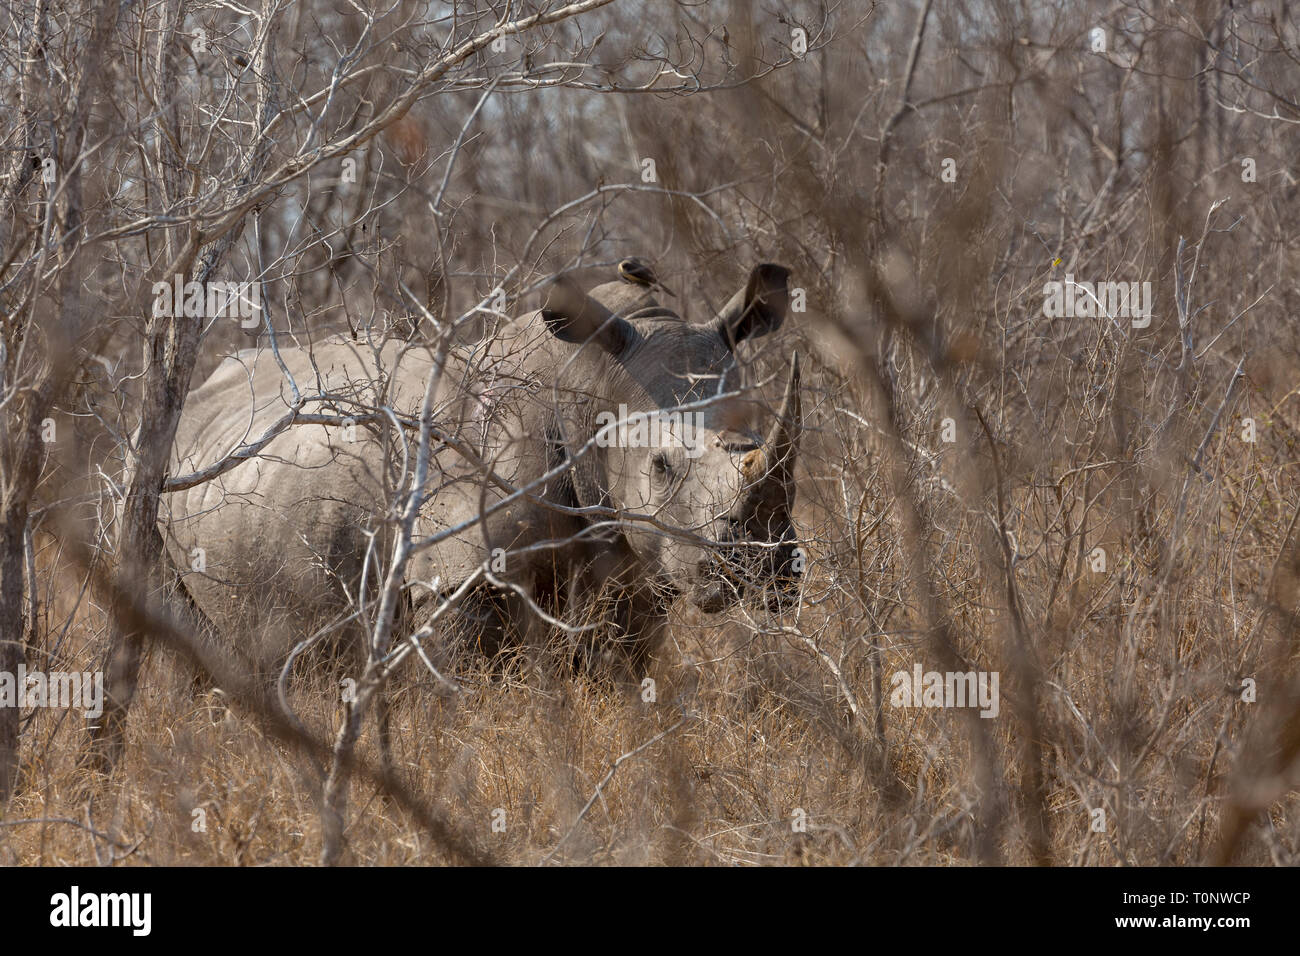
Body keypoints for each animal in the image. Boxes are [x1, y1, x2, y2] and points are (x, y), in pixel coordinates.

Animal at [161, 261, 803, 678]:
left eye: (753, 440)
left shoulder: (636, 574)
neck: (587, 388)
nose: (765, 567)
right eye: (662, 467)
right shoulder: (452, 578)